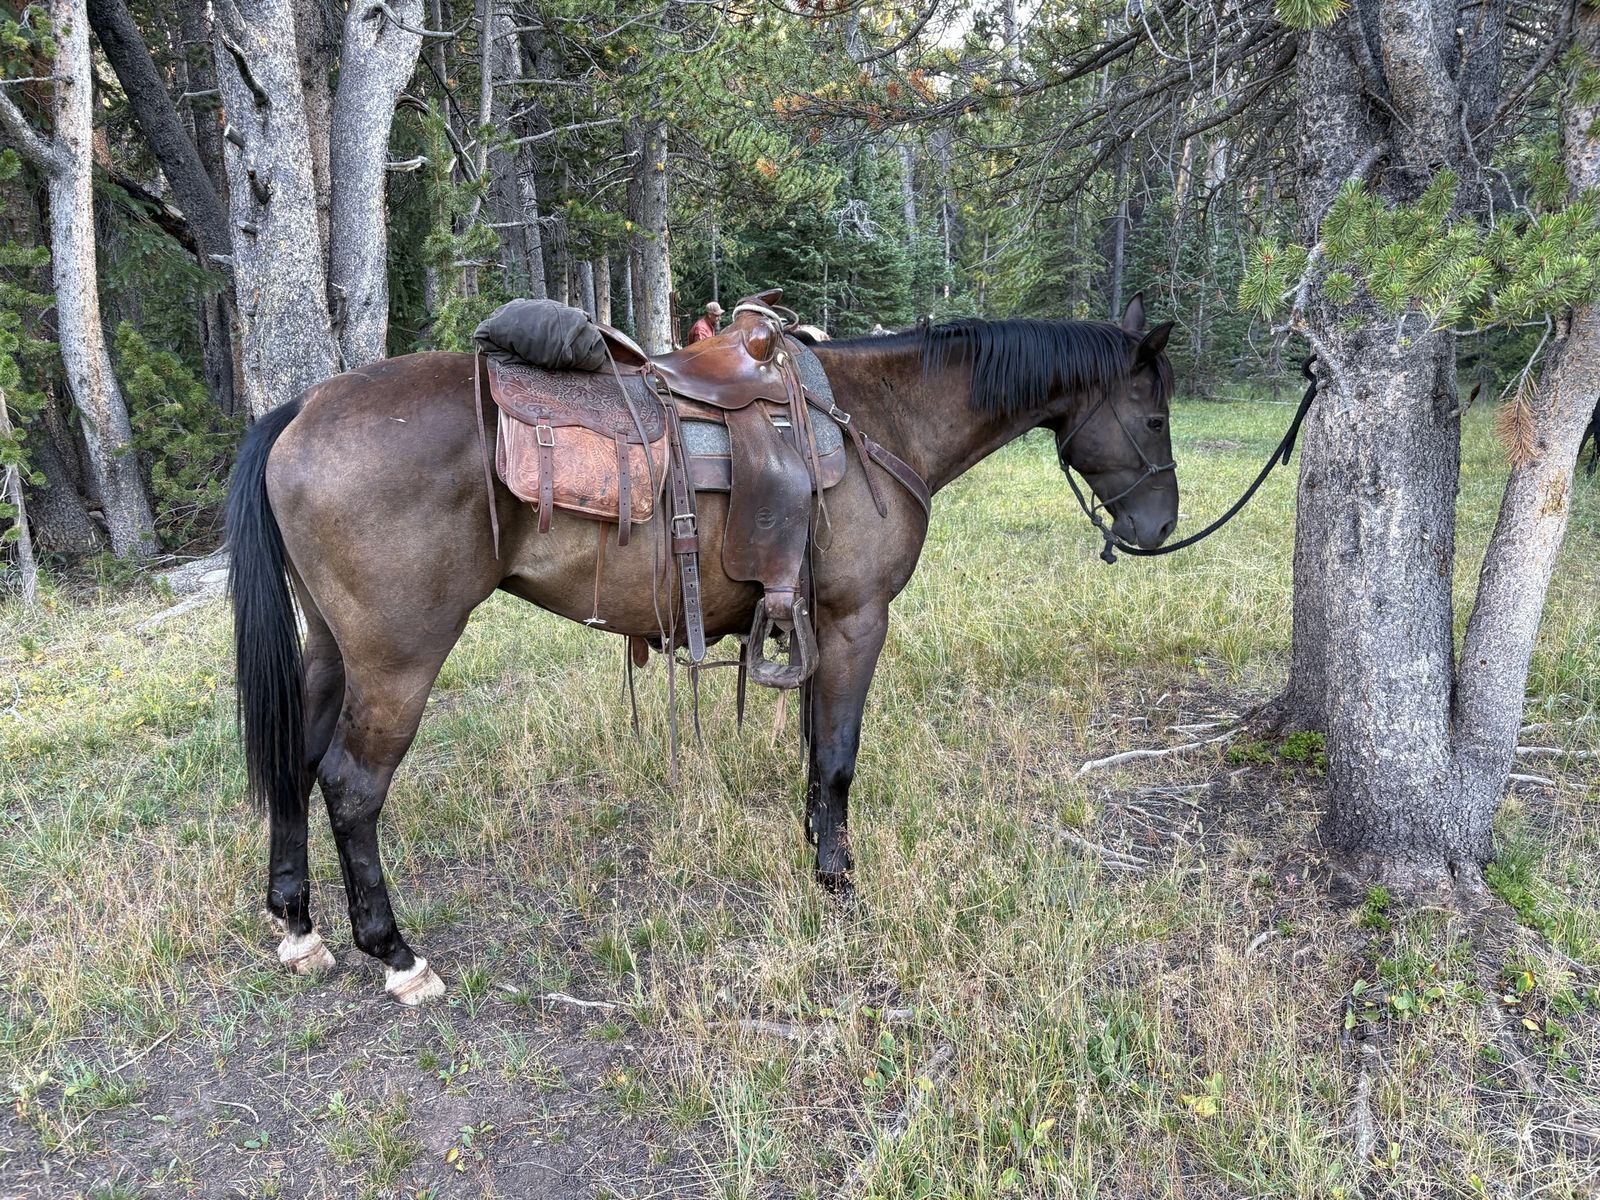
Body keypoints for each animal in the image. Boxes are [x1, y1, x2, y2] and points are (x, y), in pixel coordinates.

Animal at [226, 295, 1179, 1003]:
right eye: (1154, 414)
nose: (1159, 527)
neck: (880, 419)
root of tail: (301, 408)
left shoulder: (814, 625)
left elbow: (815, 748)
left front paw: (814, 852)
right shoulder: (855, 619)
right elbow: (839, 755)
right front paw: (839, 881)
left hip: (331, 651)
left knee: (296, 763)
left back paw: (299, 924)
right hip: (398, 659)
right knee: (353, 786)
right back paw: (394, 953)